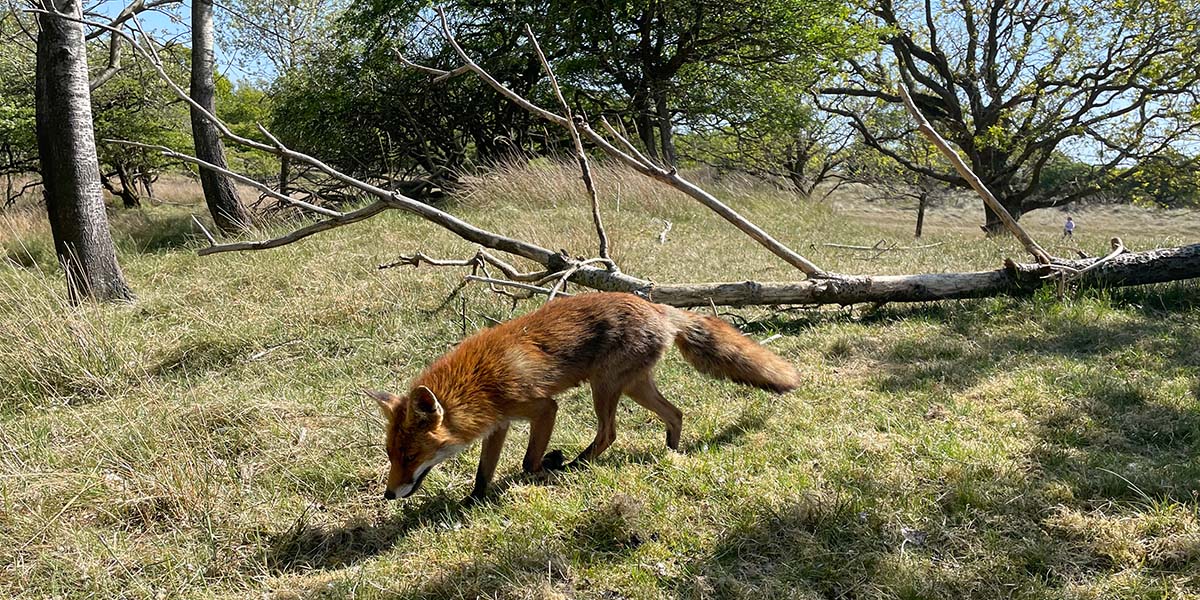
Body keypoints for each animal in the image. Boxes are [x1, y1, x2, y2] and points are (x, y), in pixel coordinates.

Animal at [364, 292, 796, 499]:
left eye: (410, 457)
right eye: (391, 455)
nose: (388, 495)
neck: (479, 382)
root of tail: (659, 307)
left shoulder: (543, 408)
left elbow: (527, 463)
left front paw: (547, 467)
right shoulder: (499, 425)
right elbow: (483, 472)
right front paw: (473, 502)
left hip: (603, 386)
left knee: (609, 434)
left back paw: (574, 465)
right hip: (632, 385)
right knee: (676, 414)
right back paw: (671, 454)